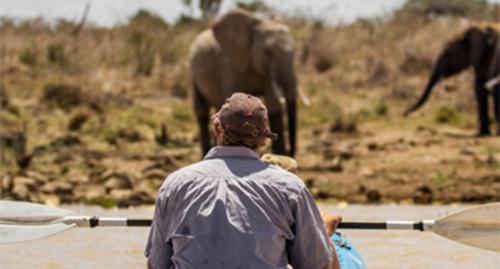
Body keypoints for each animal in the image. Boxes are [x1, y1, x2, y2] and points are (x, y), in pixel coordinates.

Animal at [189, 8, 306, 155]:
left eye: (295, 51)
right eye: (267, 52)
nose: (289, 151)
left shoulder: (266, 72)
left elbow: (273, 104)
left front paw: (280, 154)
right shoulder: (229, 64)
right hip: (193, 70)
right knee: (201, 109)